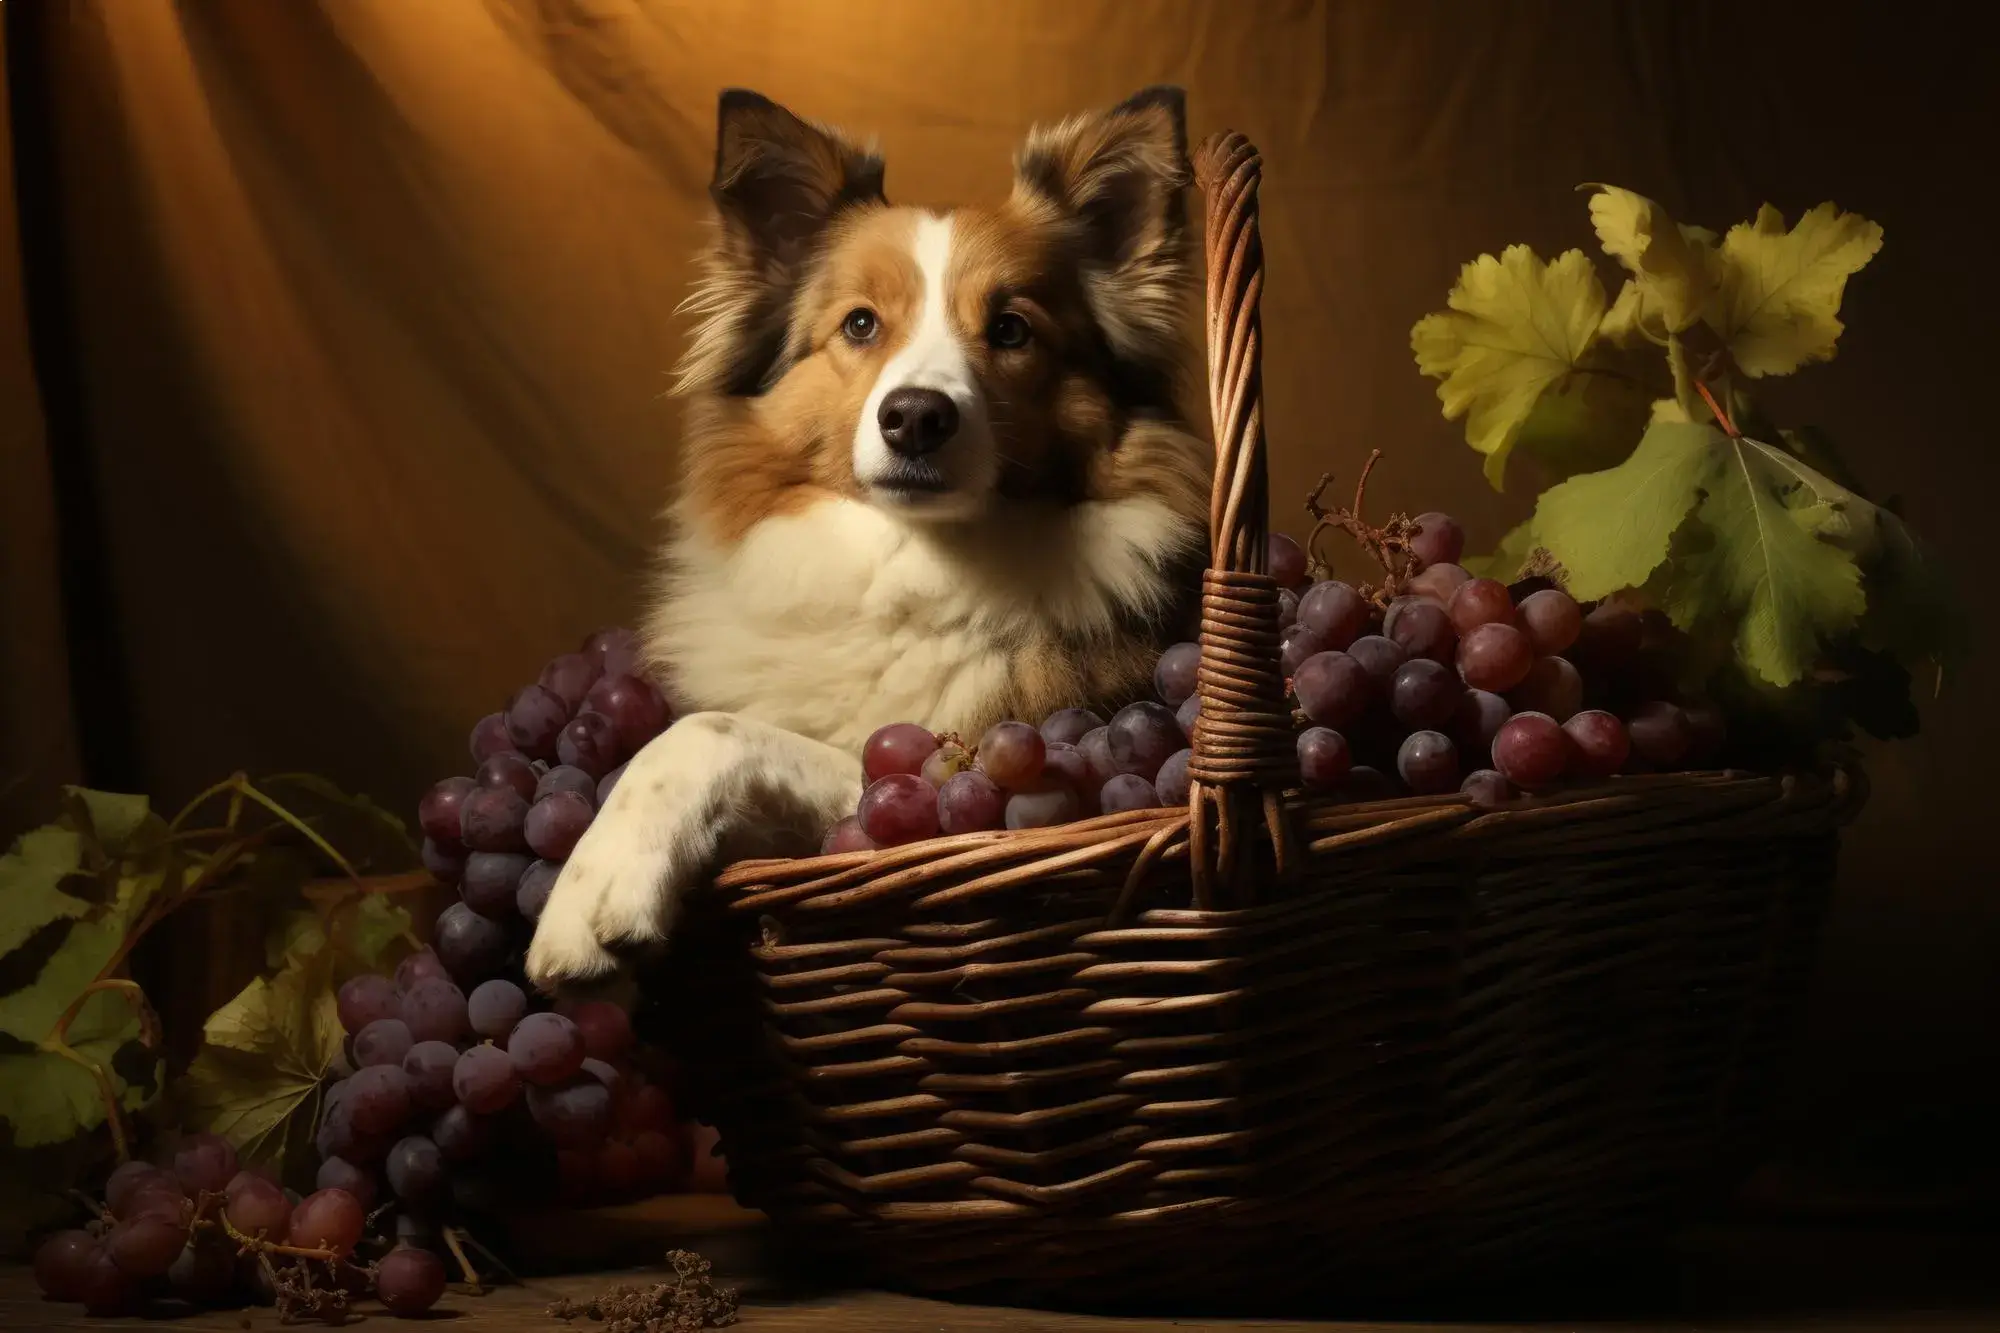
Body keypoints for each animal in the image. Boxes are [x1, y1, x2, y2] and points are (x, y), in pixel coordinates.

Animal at [524, 85, 1208, 984]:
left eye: (1012, 329)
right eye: (859, 324)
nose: (916, 416)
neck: (909, 565)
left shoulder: (936, 771)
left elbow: (701, 732)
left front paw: (592, 884)